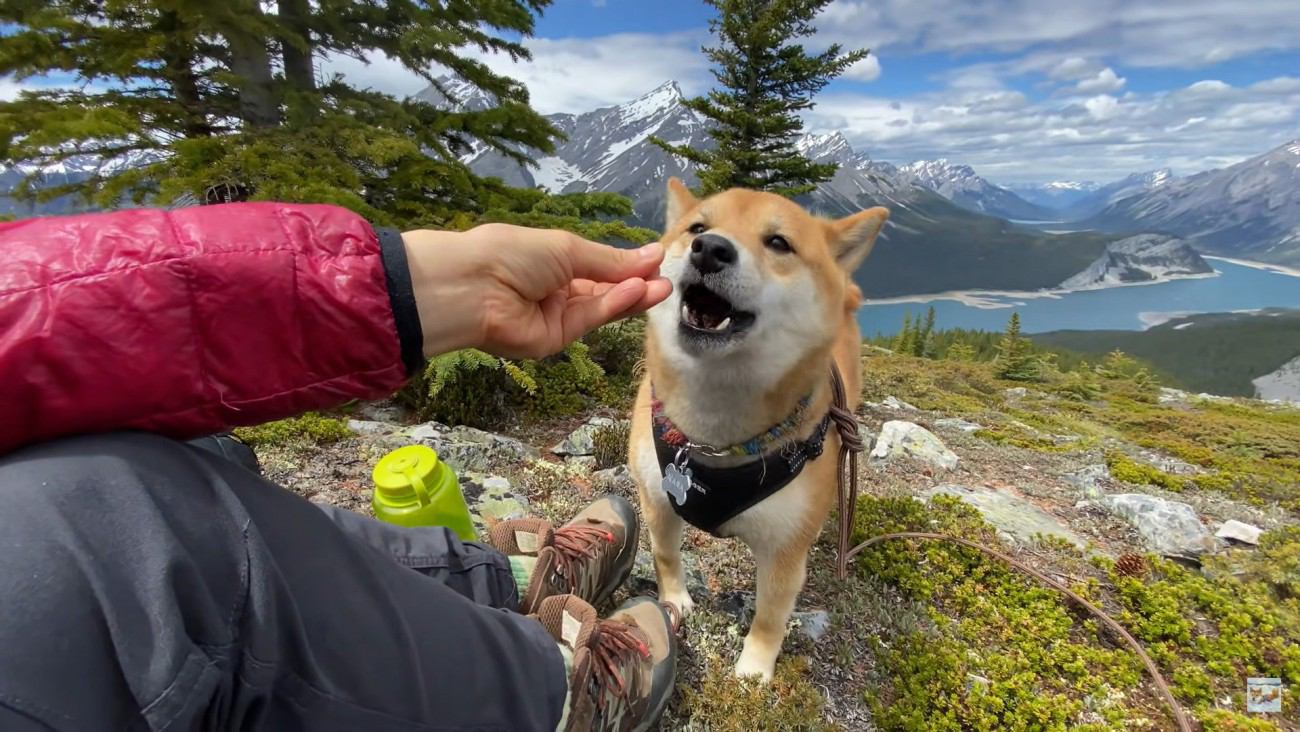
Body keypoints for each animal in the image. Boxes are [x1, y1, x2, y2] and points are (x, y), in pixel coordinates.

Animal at [629, 178, 894, 681]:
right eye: (697, 228)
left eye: (778, 242)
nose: (710, 250)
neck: (713, 437)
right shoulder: (658, 502)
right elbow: (666, 556)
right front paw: (674, 600)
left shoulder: (783, 552)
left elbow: (771, 615)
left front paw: (754, 669)